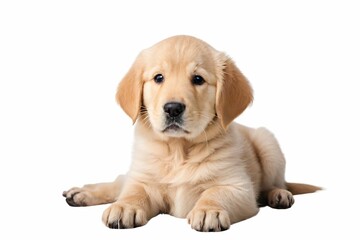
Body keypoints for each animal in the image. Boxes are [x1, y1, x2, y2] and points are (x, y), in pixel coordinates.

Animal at [62, 34, 320, 232]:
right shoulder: (144, 178)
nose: (173, 108)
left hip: (268, 144)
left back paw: (279, 195)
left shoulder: (239, 187)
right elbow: (133, 191)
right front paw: (125, 206)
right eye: (158, 78)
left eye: (198, 79)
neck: (179, 150)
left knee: (276, 183)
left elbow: (215, 192)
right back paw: (82, 193)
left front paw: (208, 211)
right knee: (121, 181)